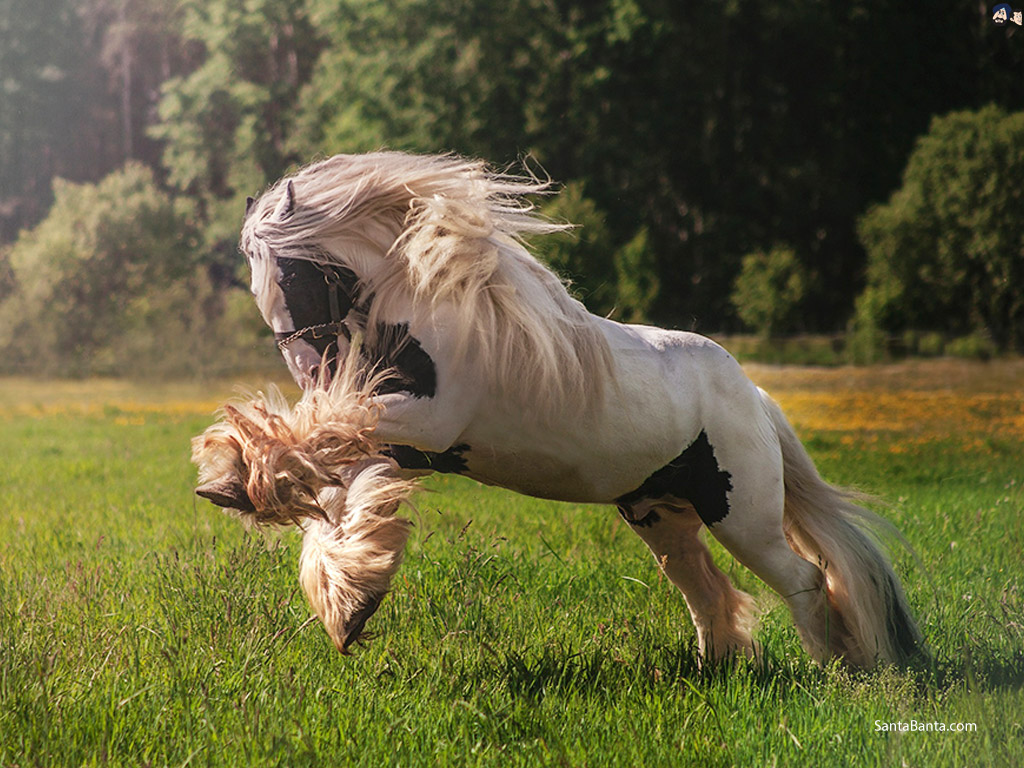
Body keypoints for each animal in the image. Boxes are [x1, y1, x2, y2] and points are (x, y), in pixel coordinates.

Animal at [194, 151, 922, 668]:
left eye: (290, 272)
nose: (312, 372)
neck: (429, 311)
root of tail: (755, 399)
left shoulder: (423, 421)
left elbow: (322, 452)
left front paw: (236, 481)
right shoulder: (398, 439)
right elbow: (337, 490)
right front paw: (348, 598)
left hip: (742, 516)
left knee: (805, 579)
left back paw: (838, 671)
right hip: (659, 515)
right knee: (705, 589)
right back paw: (717, 670)